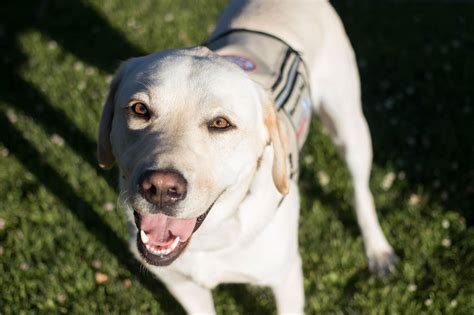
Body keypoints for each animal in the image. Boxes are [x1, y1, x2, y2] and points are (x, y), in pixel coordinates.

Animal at [98, 0, 398, 314]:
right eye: (139, 109)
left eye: (221, 123)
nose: (160, 188)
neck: (210, 238)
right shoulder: (182, 285)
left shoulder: (286, 278)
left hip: (349, 127)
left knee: (361, 191)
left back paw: (378, 251)